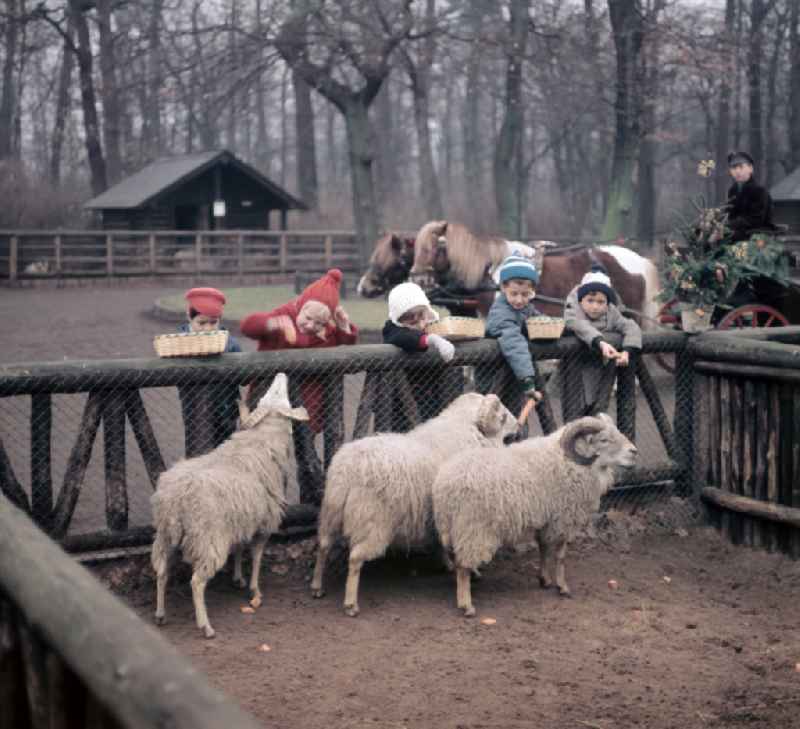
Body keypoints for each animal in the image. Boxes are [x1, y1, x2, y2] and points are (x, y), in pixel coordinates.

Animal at [152, 372, 308, 636]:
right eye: (279, 396)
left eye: (268, 396)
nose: (281, 374)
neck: (262, 441)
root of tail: (175, 499)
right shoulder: (263, 523)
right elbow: (256, 555)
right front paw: (254, 589)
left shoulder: (242, 519)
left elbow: (239, 547)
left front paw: (237, 578)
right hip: (208, 540)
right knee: (196, 582)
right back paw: (205, 626)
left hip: (166, 536)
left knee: (162, 572)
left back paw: (161, 614)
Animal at [310, 392, 516, 616]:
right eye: (503, 416)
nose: (519, 425)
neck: (464, 429)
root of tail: (348, 470)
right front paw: (470, 571)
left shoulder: (438, 516)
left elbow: (440, 543)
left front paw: (448, 563)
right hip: (372, 521)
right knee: (355, 558)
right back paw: (350, 604)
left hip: (331, 513)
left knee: (323, 546)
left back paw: (317, 586)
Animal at [432, 416, 636, 616]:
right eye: (604, 440)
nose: (634, 452)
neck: (569, 461)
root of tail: (445, 485)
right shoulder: (563, 517)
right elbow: (560, 555)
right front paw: (562, 587)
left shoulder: (547, 519)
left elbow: (544, 548)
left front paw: (544, 579)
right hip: (473, 527)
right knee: (462, 566)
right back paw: (466, 605)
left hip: (455, 526)